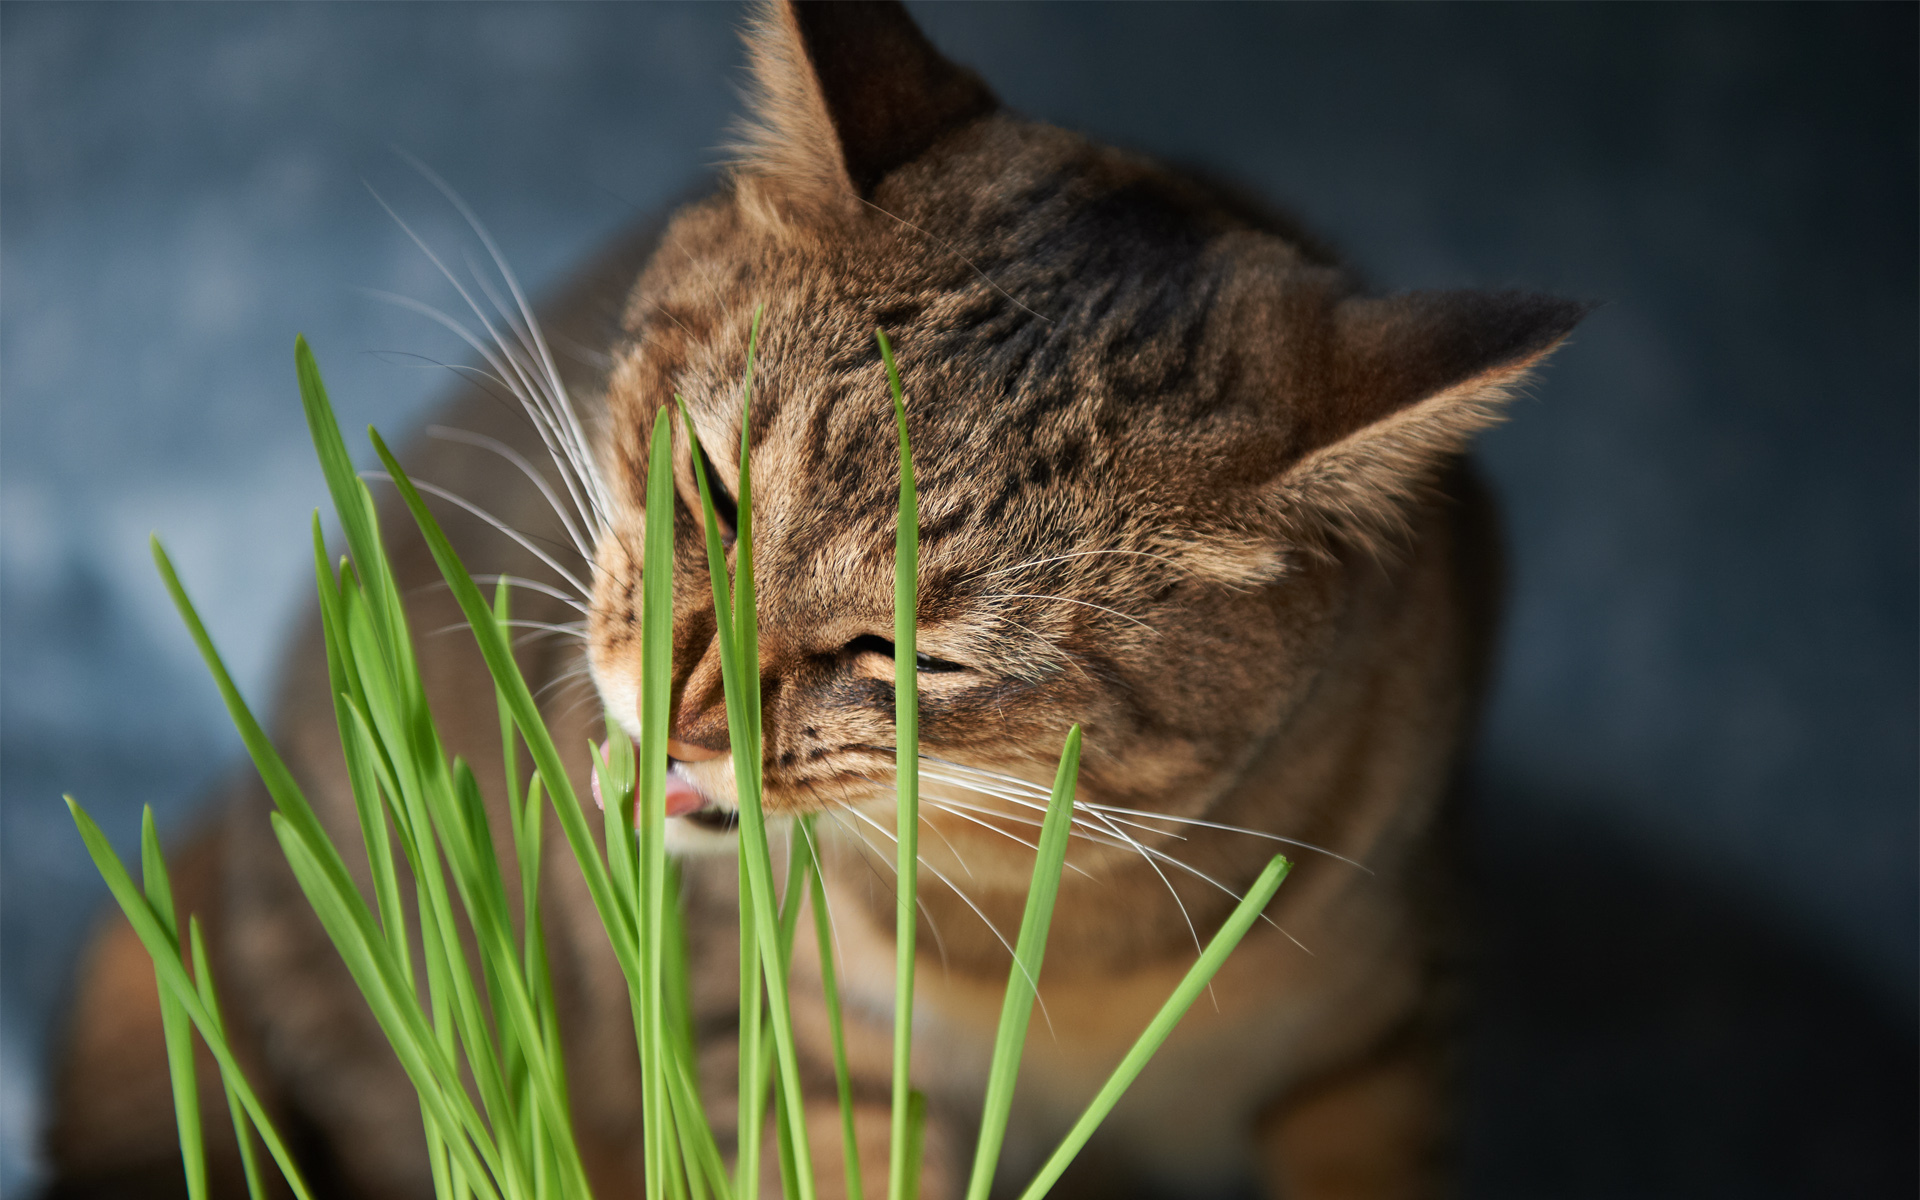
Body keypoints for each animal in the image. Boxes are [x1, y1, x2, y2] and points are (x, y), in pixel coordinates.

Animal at [45, 4, 1582, 1190]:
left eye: (907, 654)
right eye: (717, 490)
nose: (680, 715)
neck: (1067, 954)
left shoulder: (1388, 1017)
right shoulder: (791, 1051)